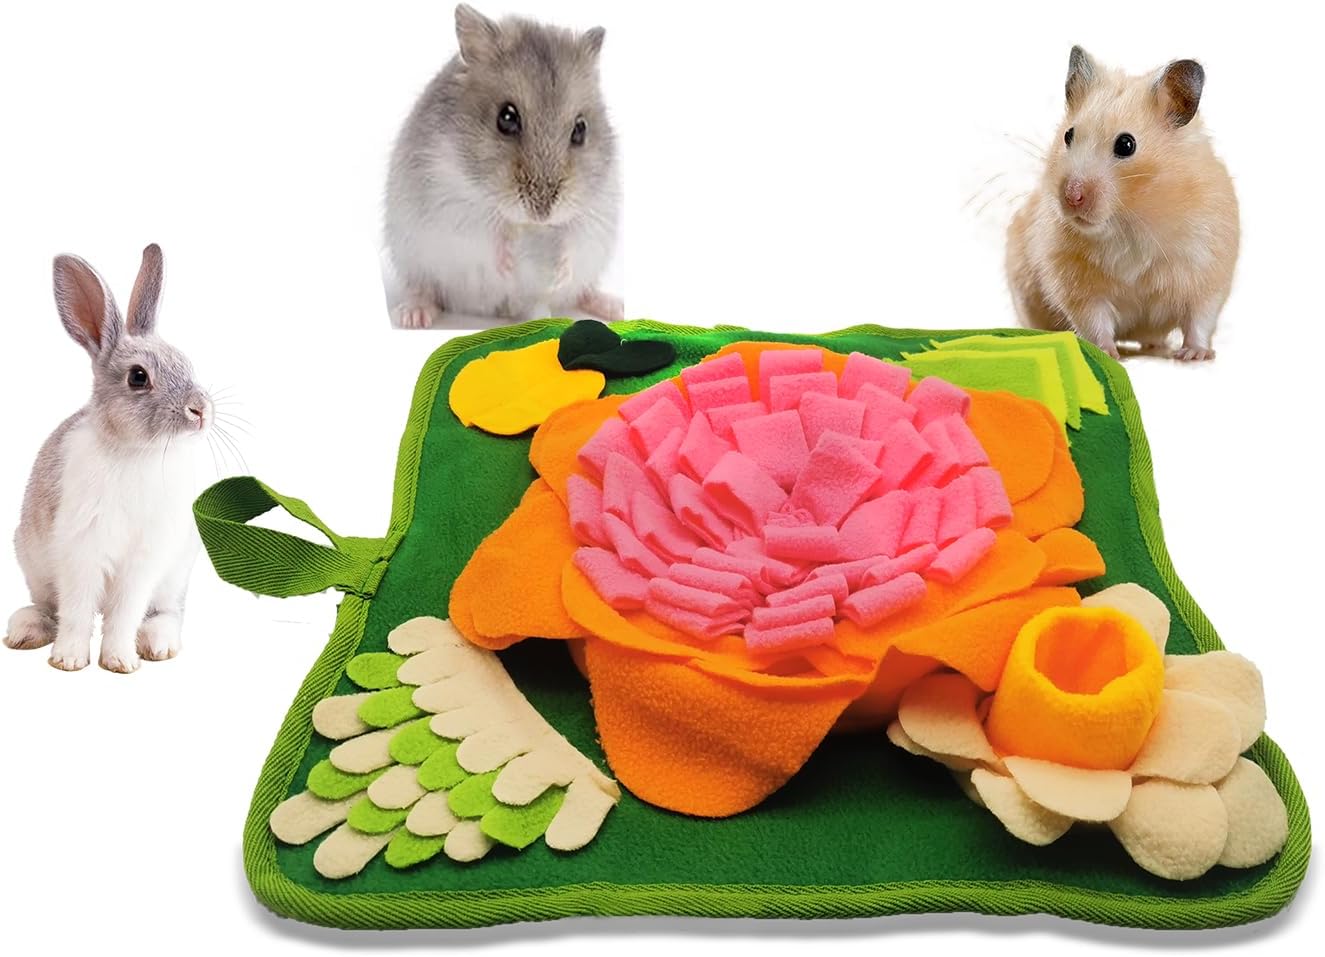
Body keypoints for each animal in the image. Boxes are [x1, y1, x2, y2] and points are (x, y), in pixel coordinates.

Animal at [5, 245, 214, 673]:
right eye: (138, 377)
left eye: (186, 363)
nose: (201, 411)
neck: (135, 452)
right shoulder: (80, 550)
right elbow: (77, 610)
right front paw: (68, 660)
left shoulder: (143, 560)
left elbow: (125, 612)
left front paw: (120, 661)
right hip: (34, 564)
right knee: (49, 607)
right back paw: (24, 631)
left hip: (175, 573)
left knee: (166, 612)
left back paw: (158, 645)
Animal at [383, 4, 622, 329]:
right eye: (506, 118)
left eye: (581, 129)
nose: (541, 213)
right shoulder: (448, 203)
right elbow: (489, 230)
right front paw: (508, 262)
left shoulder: (596, 212)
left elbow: (574, 236)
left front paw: (559, 270)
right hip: (412, 255)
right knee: (424, 288)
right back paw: (414, 316)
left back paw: (612, 307)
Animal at [1006, 47, 1239, 360]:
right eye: (1068, 135)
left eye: (1126, 145)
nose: (1071, 196)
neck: (1130, 219)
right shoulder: (1076, 282)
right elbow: (1094, 319)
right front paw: (1107, 353)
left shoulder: (1207, 268)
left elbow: (1200, 317)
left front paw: (1194, 355)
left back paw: (1158, 347)